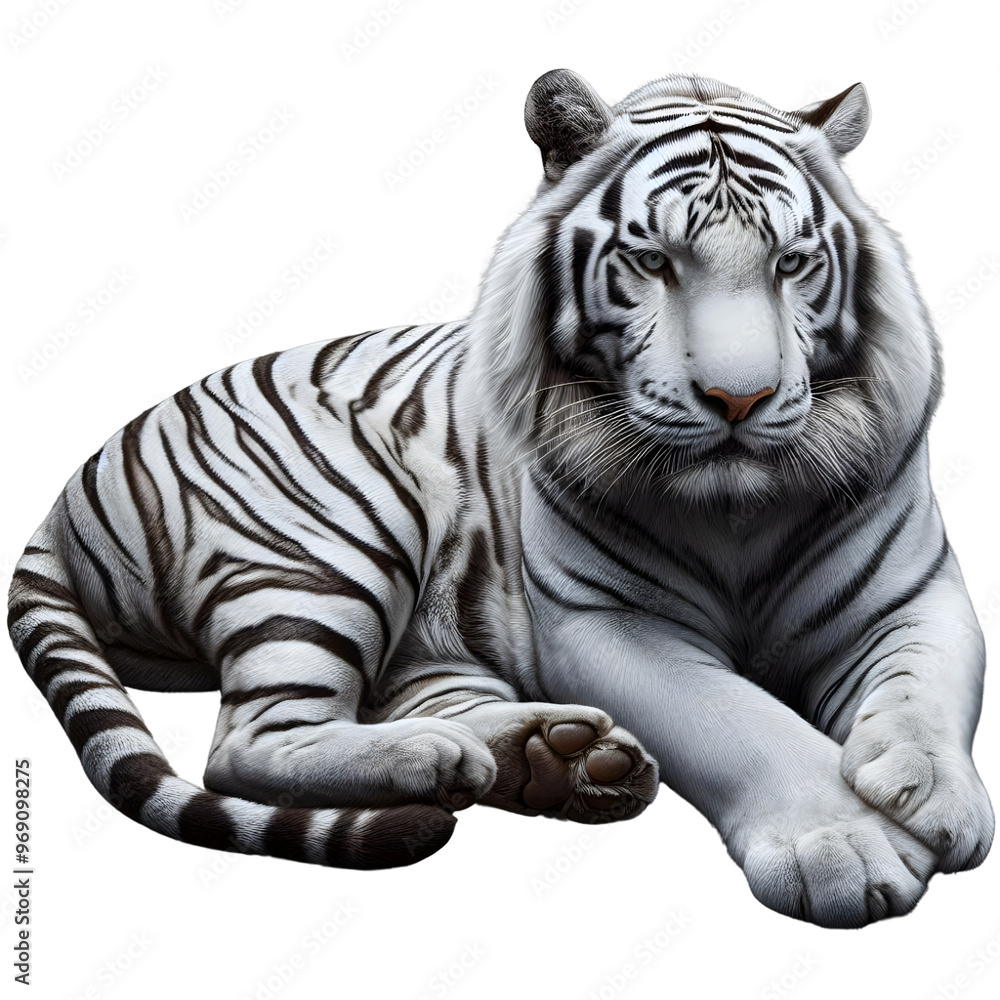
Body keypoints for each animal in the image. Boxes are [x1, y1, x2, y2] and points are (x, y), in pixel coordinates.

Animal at [9, 69, 993, 929]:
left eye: (792, 262)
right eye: (652, 260)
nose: (739, 401)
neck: (737, 511)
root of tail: (66, 495)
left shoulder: (914, 595)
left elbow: (926, 688)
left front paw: (938, 794)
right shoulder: (607, 624)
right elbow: (739, 722)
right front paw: (844, 847)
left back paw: (553, 760)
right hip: (335, 538)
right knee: (248, 745)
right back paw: (455, 759)